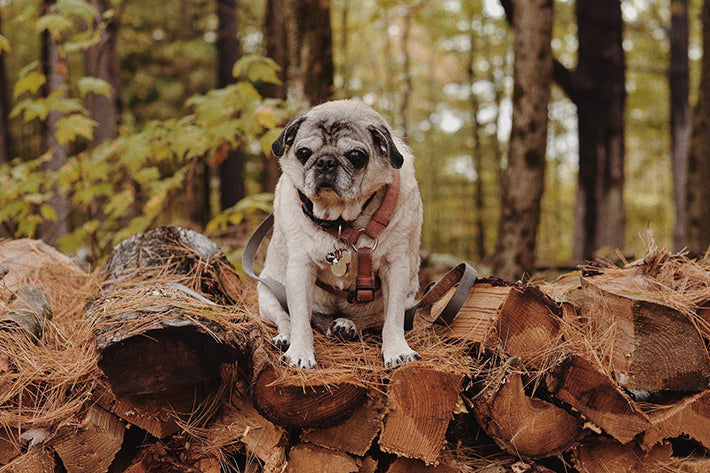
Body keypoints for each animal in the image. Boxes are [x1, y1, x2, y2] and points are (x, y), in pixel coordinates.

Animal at [258, 99, 422, 368]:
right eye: (303, 153)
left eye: (356, 156)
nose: (326, 161)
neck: (342, 222)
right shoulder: (300, 268)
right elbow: (300, 318)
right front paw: (300, 353)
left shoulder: (396, 268)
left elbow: (393, 319)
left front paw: (397, 350)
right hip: (267, 290)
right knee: (287, 318)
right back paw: (286, 337)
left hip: (409, 297)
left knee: (374, 320)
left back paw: (347, 325)